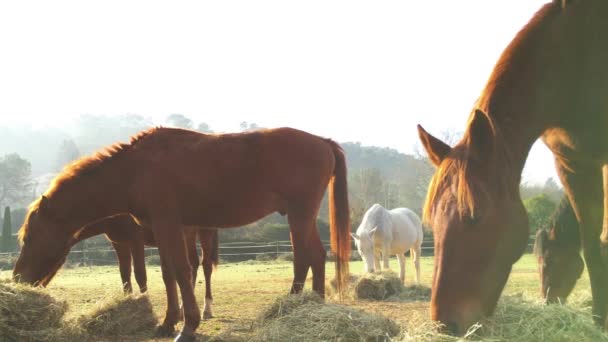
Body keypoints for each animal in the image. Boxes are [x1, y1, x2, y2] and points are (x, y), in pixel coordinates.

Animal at [72, 215, 218, 320]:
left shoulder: (136, 240)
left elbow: (140, 274)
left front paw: (145, 306)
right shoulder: (120, 244)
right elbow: (125, 274)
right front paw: (129, 302)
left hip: (205, 231)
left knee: (206, 266)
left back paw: (207, 309)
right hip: (187, 235)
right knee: (193, 264)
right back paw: (183, 310)